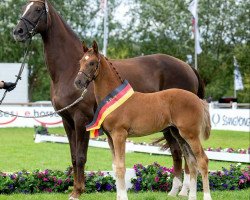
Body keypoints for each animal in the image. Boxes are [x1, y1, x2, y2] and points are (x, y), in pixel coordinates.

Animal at [74, 41, 213, 200]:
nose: (78, 82)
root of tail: (198, 100)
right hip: (179, 134)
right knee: (191, 161)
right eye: (80, 62)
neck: (114, 98)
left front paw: (124, 197)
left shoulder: (119, 135)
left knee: (202, 160)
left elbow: (121, 167)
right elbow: (115, 167)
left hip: (190, 134)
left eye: (92, 63)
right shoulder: (110, 138)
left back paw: (206, 196)